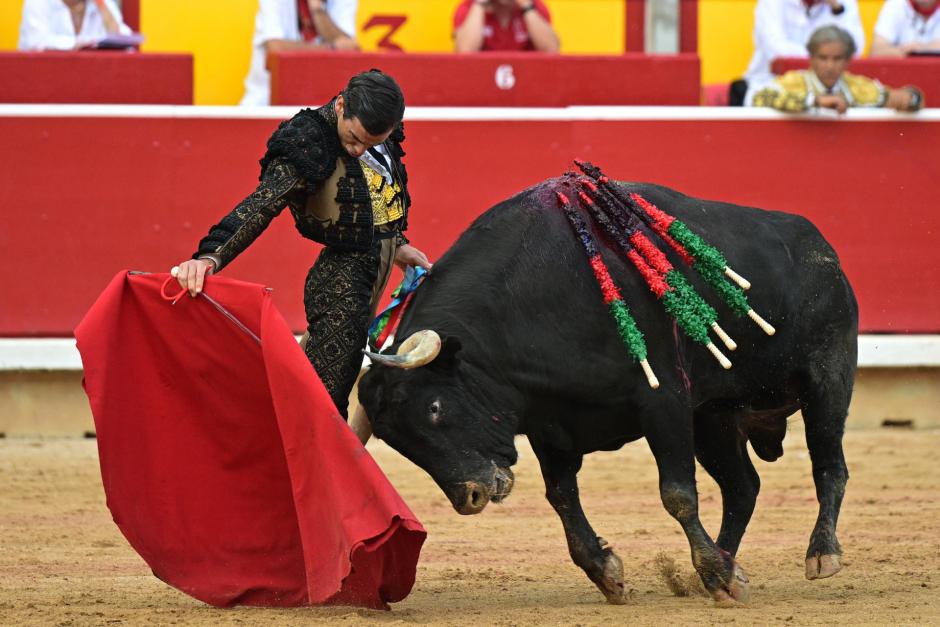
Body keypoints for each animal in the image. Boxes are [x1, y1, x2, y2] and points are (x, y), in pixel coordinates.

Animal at [356, 179, 856, 604]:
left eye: (434, 407)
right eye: (399, 443)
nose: (471, 497)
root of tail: (822, 248)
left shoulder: (665, 400)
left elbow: (677, 493)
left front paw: (712, 571)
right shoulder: (549, 421)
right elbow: (562, 497)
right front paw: (607, 573)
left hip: (828, 381)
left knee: (829, 465)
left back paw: (820, 555)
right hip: (715, 417)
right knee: (743, 487)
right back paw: (724, 569)